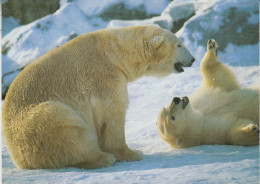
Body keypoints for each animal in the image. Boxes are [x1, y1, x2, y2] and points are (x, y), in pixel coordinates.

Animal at [2, 25, 195, 169]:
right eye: (179, 45)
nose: (193, 59)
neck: (115, 53)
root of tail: (19, 159)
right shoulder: (104, 78)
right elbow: (113, 113)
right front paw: (132, 153)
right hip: (39, 121)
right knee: (69, 131)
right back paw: (103, 158)